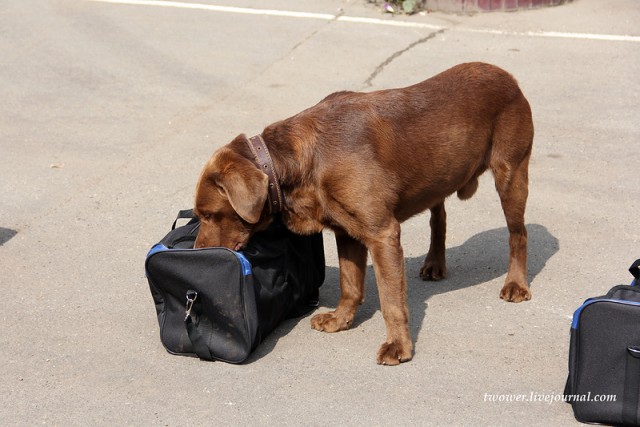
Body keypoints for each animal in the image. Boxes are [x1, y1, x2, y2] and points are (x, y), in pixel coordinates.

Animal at [192, 62, 532, 364]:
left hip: (511, 172)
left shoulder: (382, 233)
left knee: (519, 233)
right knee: (439, 216)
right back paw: (435, 263)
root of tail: (509, 77)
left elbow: (391, 299)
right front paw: (340, 320)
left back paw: (516, 285)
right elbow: (350, 284)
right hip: (439, 173)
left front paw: (398, 347)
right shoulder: (346, 231)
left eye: (208, 215)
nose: (196, 251)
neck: (300, 163)